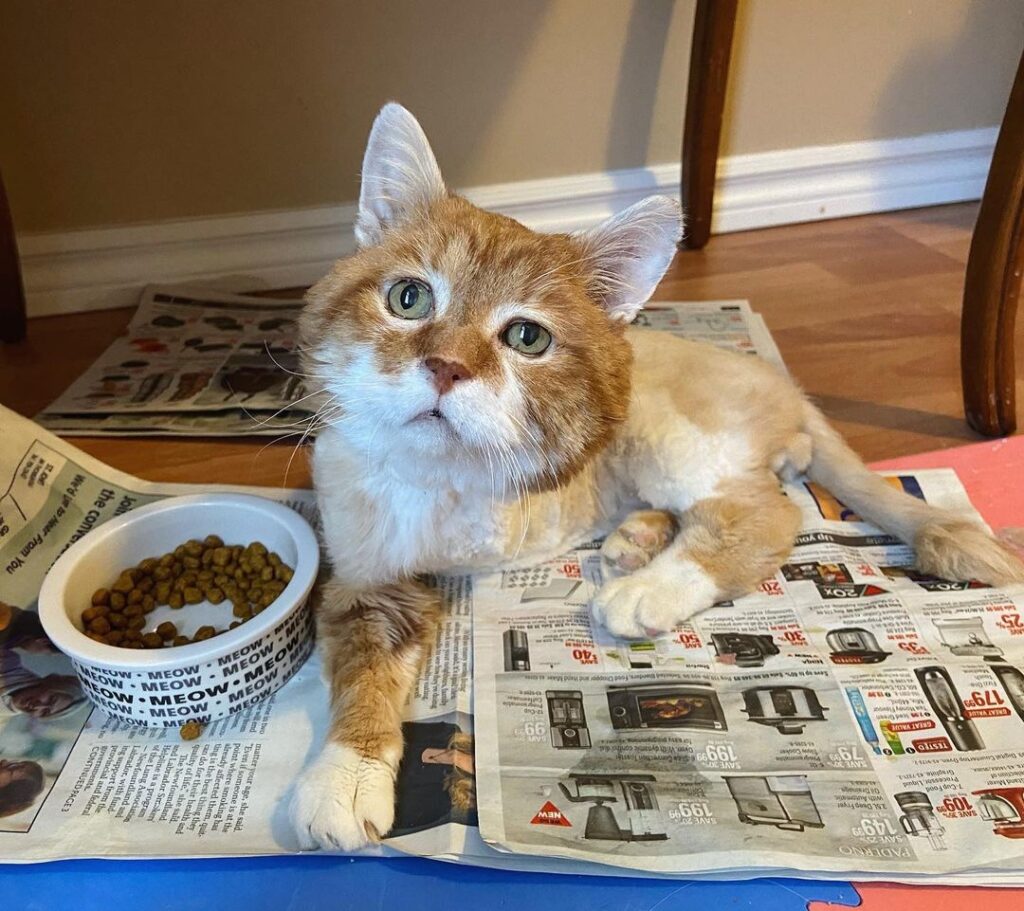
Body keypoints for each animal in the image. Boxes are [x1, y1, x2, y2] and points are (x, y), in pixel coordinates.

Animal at [290, 102, 1024, 847]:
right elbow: (363, 668)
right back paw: (636, 540)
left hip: (661, 431)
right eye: (408, 297)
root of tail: (782, 383)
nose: (445, 367)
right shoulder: (368, 580)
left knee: (768, 510)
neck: (444, 475)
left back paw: (649, 585)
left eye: (527, 337)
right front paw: (346, 776)